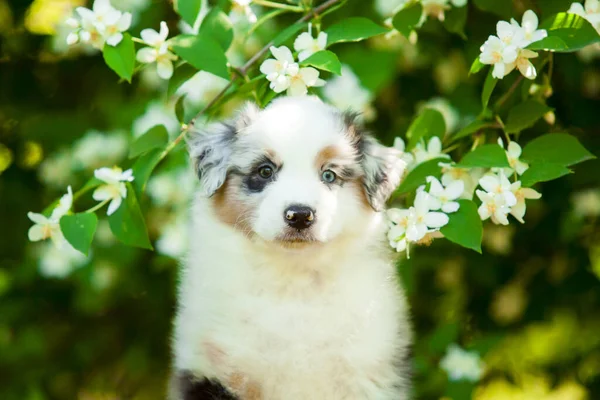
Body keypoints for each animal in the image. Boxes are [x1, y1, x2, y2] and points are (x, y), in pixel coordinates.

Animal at [169, 97, 412, 400]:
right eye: (265, 171)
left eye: (329, 175)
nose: (299, 215)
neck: (293, 279)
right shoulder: (215, 370)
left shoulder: (368, 373)